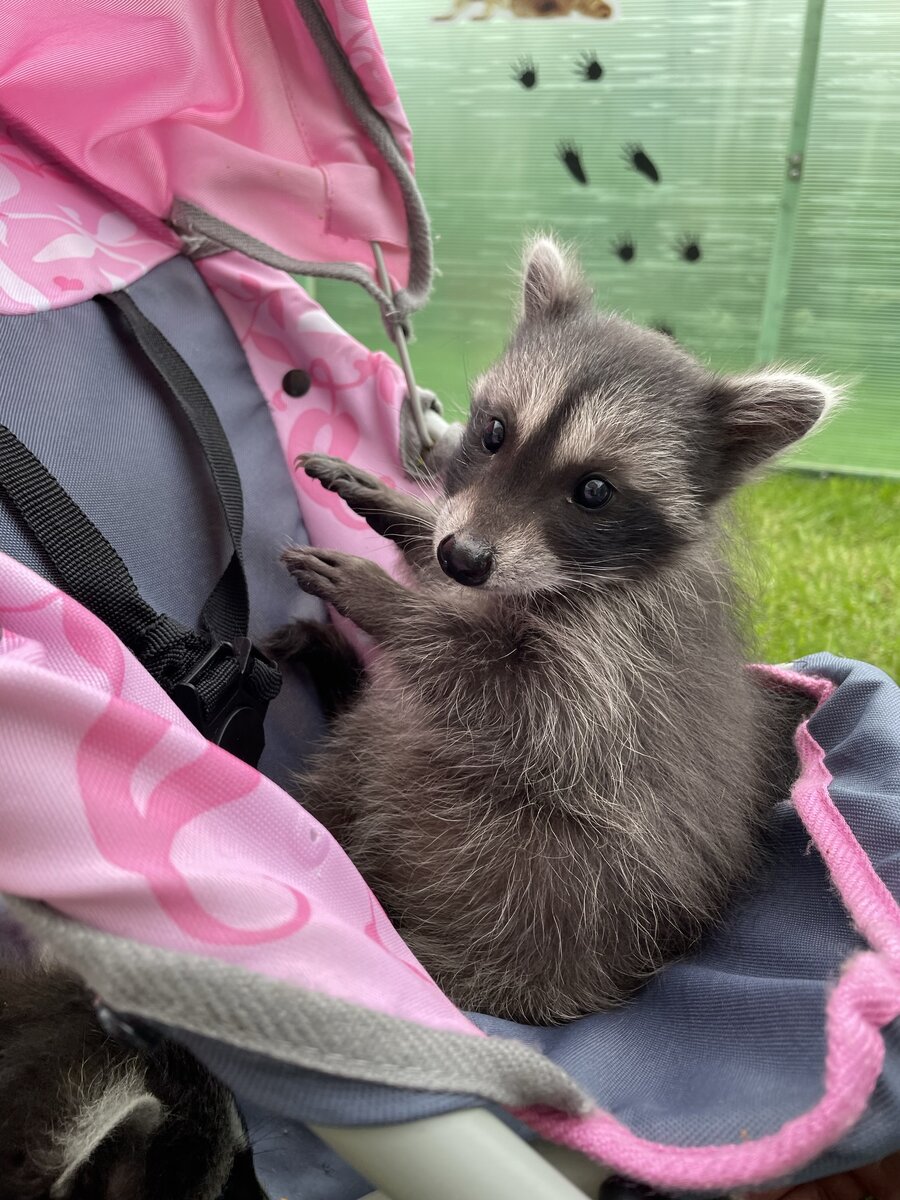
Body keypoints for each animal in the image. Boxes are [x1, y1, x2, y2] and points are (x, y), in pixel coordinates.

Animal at [277, 238, 840, 1027]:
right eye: (493, 434)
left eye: (594, 490)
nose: (462, 557)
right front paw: (399, 509)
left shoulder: (615, 662)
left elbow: (518, 704)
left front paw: (385, 600)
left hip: (537, 888)